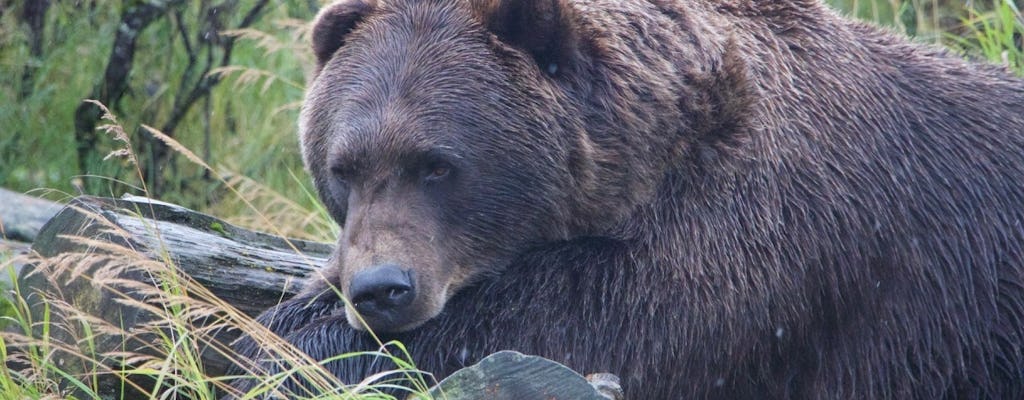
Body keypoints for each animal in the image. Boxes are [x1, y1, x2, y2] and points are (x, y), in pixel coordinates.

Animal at [232, 0, 1024, 396]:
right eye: (345, 166)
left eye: (437, 165)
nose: (381, 289)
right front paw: (280, 325)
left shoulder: (758, 257)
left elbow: (559, 325)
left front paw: (298, 350)